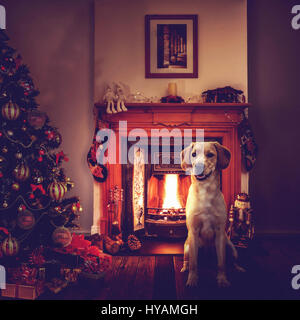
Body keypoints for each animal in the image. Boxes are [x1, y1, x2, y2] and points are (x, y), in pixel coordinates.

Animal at [180, 142, 244, 288]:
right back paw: (184, 268)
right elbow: (193, 263)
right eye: (193, 154)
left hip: (231, 247)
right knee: (188, 260)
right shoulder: (193, 232)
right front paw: (192, 279)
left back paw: (238, 268)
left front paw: (222, 279)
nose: (198, 166)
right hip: (187, 247)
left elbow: (221, 263)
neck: (205, 191)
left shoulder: (220, 233)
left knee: (232, 260)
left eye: (210, 154)